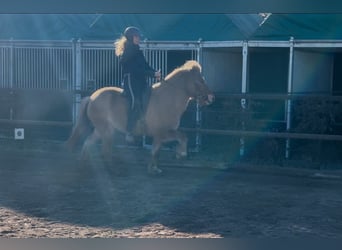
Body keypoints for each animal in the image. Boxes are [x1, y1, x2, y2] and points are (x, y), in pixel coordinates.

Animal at [67, 60, 214, 174]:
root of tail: (91, 97)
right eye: (199, 81)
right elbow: (180, 138)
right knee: (105, 150)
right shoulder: (161, 132)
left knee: (88, 143)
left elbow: (157, 150)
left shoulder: (161, 135)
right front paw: (180, 154)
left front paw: (155, 168)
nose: (211, 98)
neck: (167, 98)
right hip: (106, 131)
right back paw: (113, 170)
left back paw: (83, 167)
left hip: (101, 130)